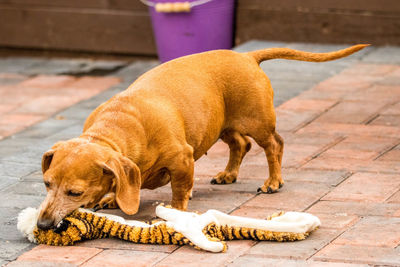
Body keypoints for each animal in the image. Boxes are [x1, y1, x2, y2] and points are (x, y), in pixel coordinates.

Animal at [36, 44, 366, 230]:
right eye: (47, 184)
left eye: (75, 193)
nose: (43, 224)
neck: (120, 125)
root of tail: (247, 56)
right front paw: (110, 198)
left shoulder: (182, 159)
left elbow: (180, 190)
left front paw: (175, 211)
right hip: (221, 126)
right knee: (241, 145)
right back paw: (228, 174)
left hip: (257, 122)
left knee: (274, 144)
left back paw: (273, 181)